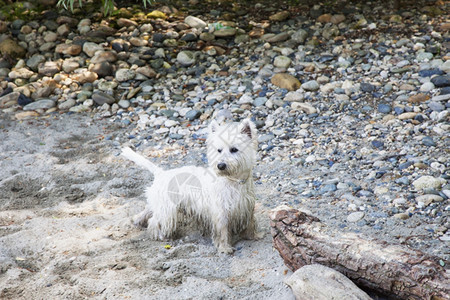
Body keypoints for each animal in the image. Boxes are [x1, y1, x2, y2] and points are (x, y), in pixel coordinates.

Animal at [121, 119, 260, 253]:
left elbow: (250, 223)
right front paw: (225, 248)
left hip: (159, 202)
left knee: (148, 210)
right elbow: (223, 231)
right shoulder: (221, 211)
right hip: (167, 209)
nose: (220, 165)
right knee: (155, 221)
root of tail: (161, 173)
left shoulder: (247, 206)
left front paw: (253, 236)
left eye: (234, 149)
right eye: (219, 150)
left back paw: (136, 220)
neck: (234, 181)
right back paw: (160, 235)